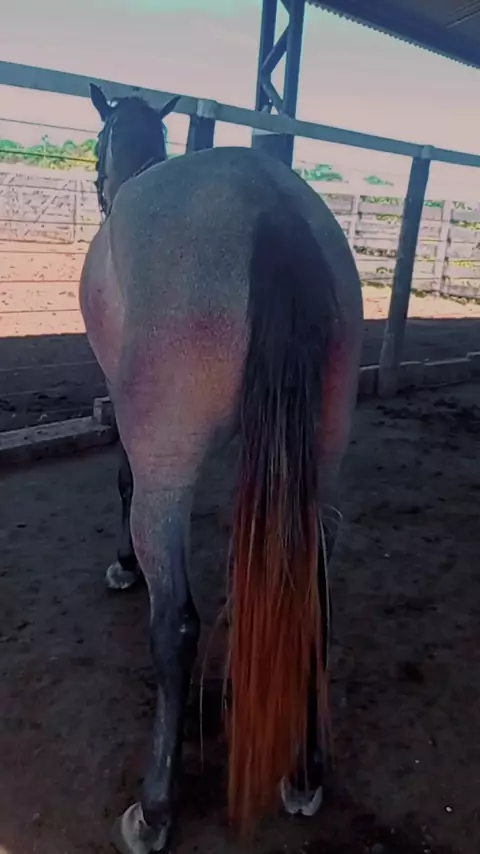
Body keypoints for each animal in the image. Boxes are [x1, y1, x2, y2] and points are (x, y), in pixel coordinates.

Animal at [81, 82, 363, 854]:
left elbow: (122, 477)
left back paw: (154, 808)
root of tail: (270, 208)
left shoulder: (135, 427)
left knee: (176, 623)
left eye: (99, 139)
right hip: (317, 466)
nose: (97, 187)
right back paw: (304, 774)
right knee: (310, 596)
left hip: (168, 474)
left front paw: (121, 566)